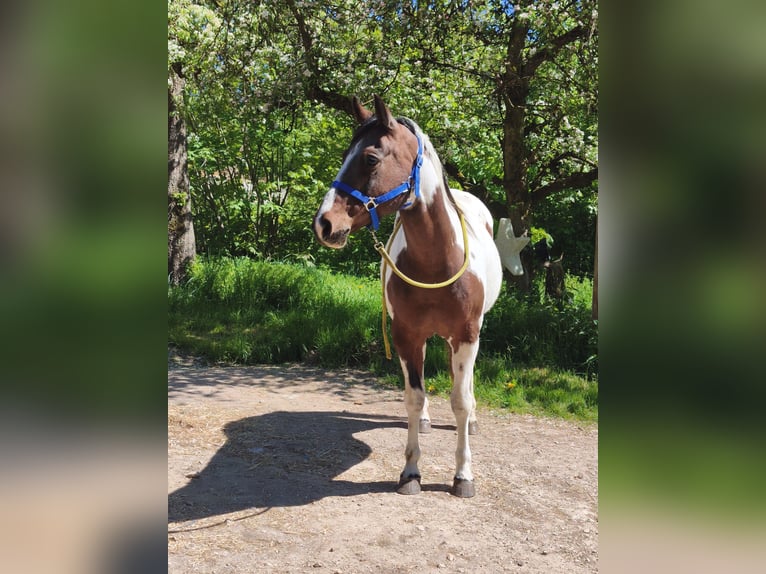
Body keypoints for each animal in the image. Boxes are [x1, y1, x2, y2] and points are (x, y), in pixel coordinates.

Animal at [313, 95, 503, 497]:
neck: (439, 261)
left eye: (370, 158)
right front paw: (412, 472)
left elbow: (460, 400)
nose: (324, 224)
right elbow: (413, 397)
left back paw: (472, 421)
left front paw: (463, 475)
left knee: (464, 385)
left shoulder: (467, 334)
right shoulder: (406, 335)